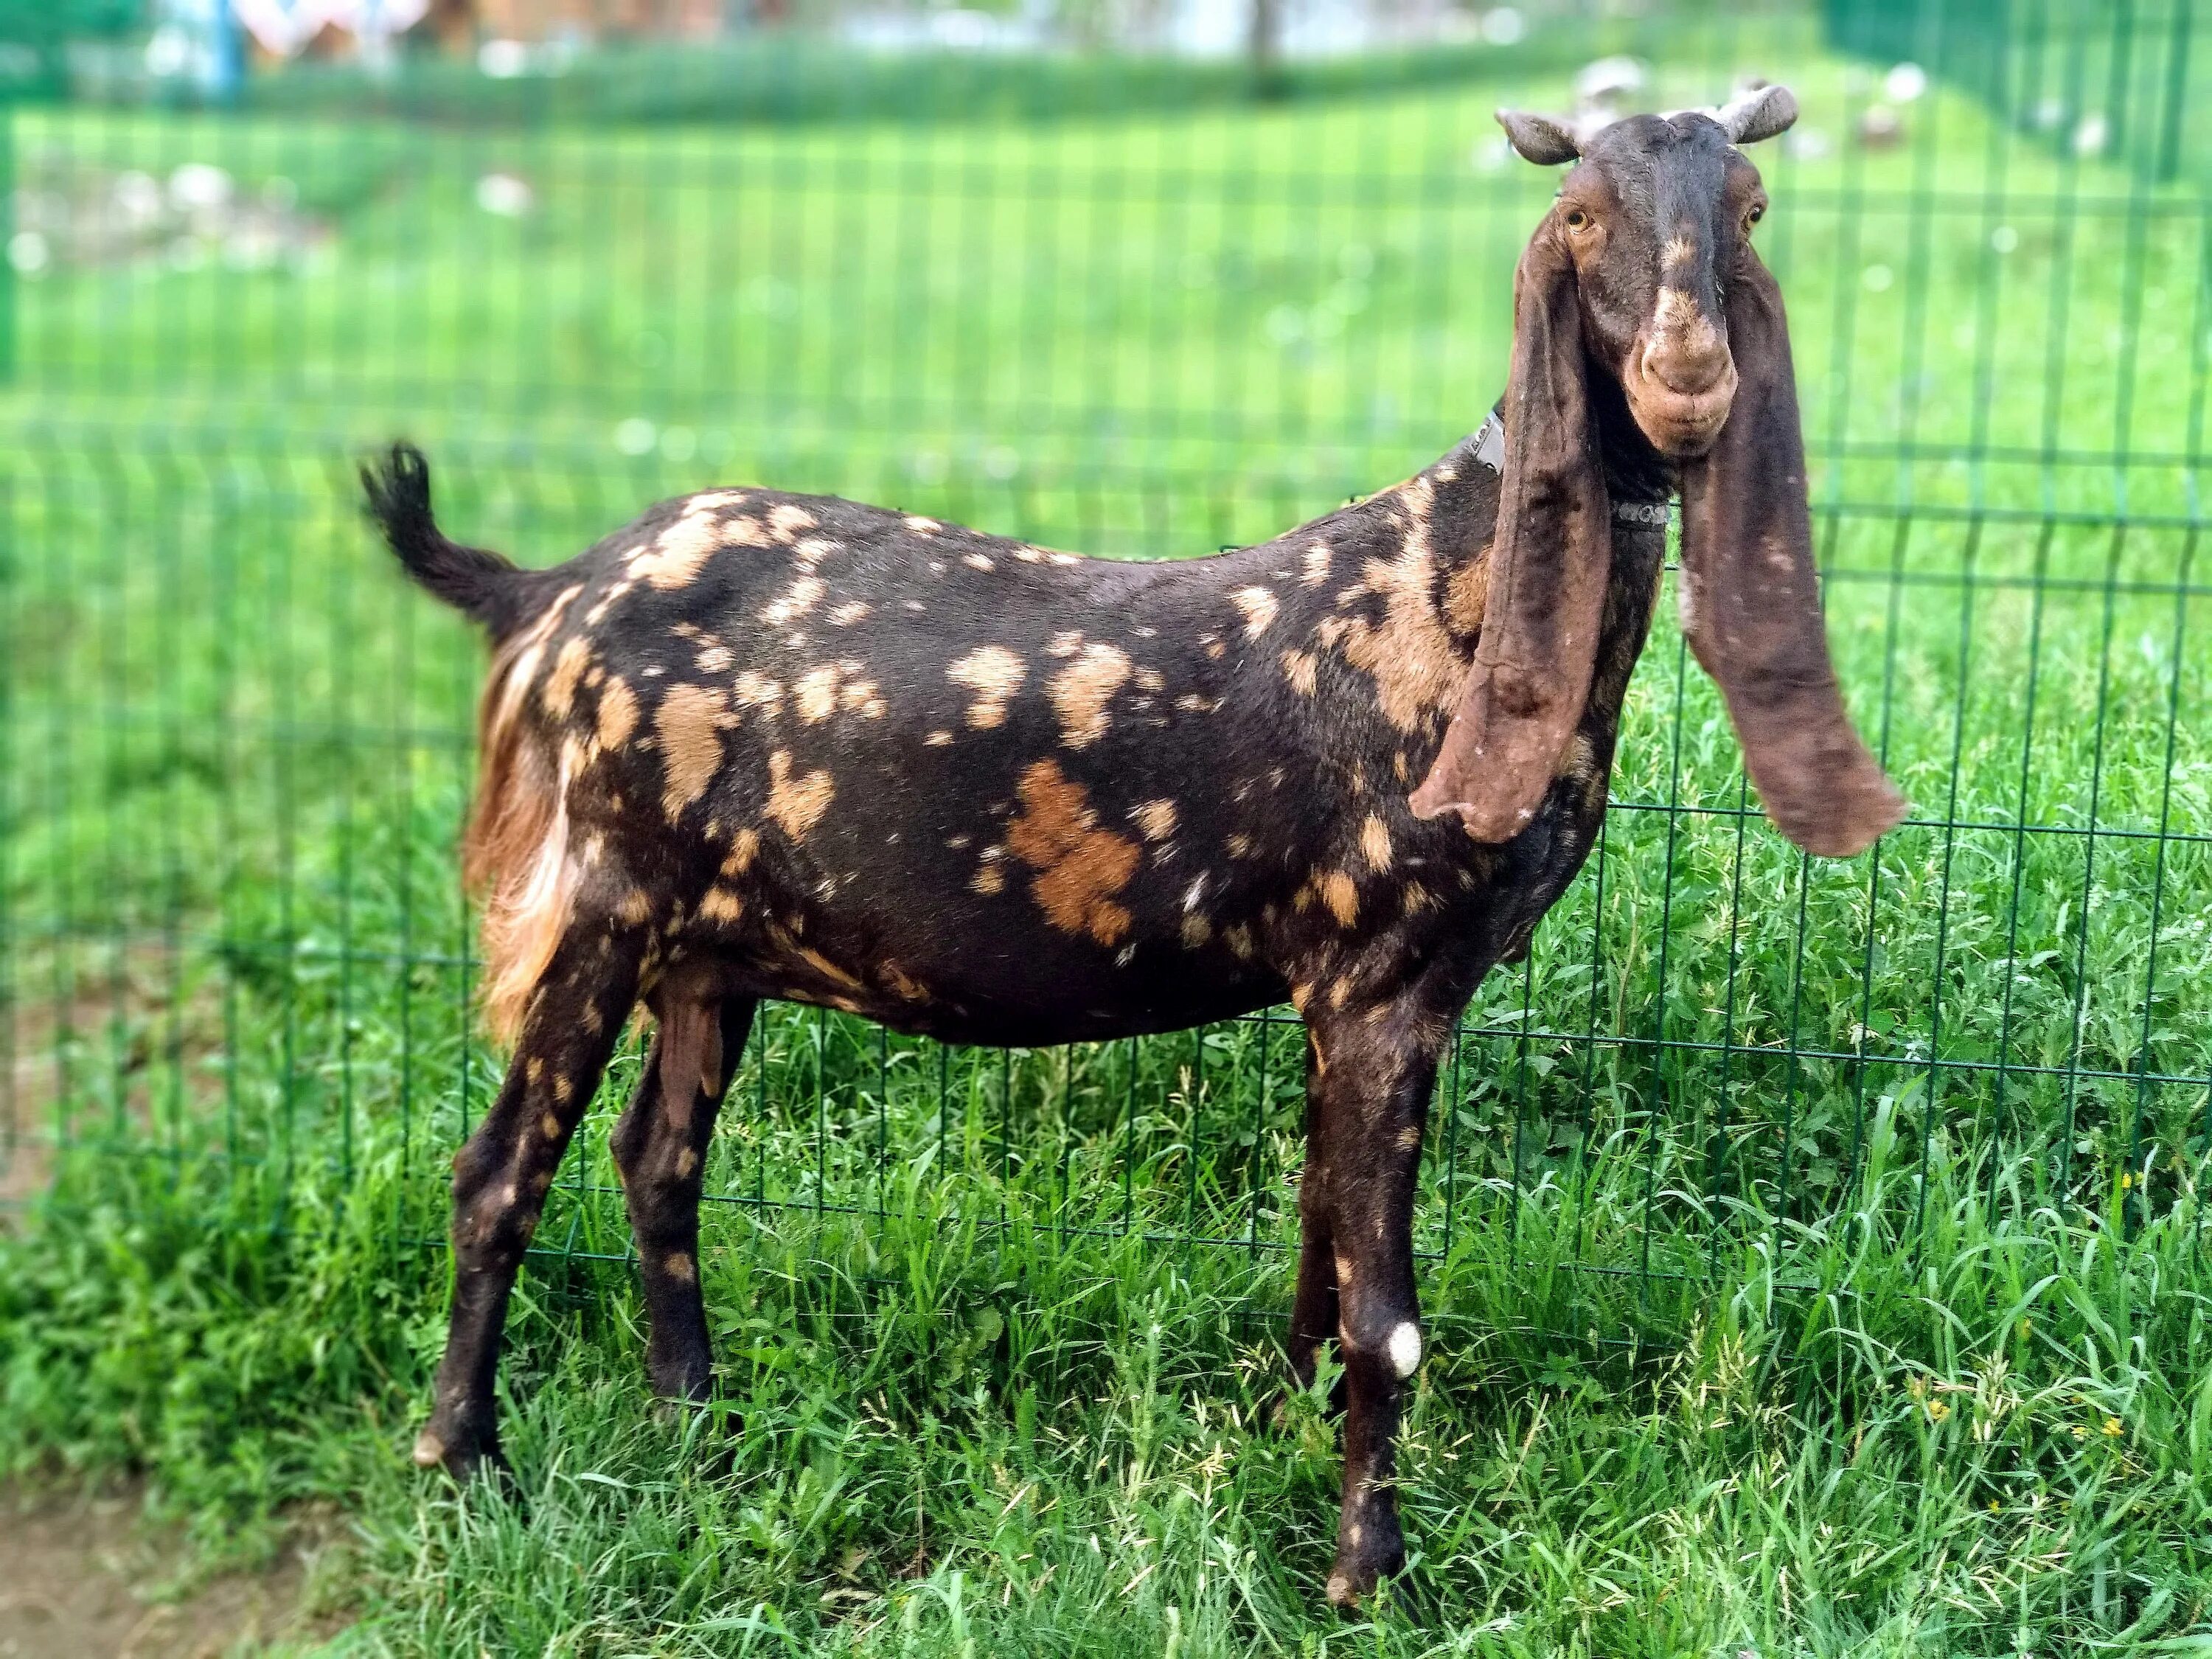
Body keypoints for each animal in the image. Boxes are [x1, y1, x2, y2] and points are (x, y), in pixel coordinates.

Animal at [367, 88, 1902, 1610]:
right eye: (1581, 215)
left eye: (1750, 207)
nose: (1686, 379)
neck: (1449, 606)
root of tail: (551, 593)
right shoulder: (1387, 976)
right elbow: (1388, 1315)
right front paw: (1369, 1578)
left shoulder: (1342, 989)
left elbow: (1317, 1234)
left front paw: (1285, 1422)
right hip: (604, 898)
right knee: (498, 1172)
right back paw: (470, 1460)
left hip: (711, 950)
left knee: (657, 1161)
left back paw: (699, 1420)